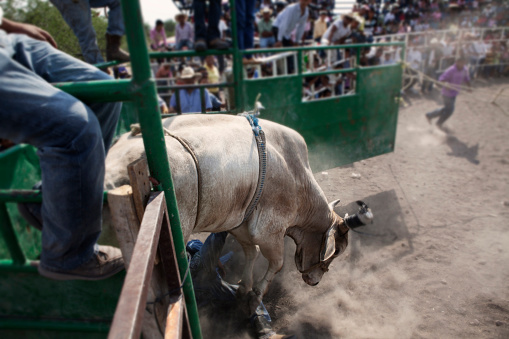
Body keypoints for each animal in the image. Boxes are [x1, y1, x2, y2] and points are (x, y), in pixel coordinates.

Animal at [103, 115, 350, 302]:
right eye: (335, 252)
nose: (315, 281)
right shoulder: (269, 230)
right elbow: (277, 262)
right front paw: (258, 292)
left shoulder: (241, 224)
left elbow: (251, 253)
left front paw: (244, 286)